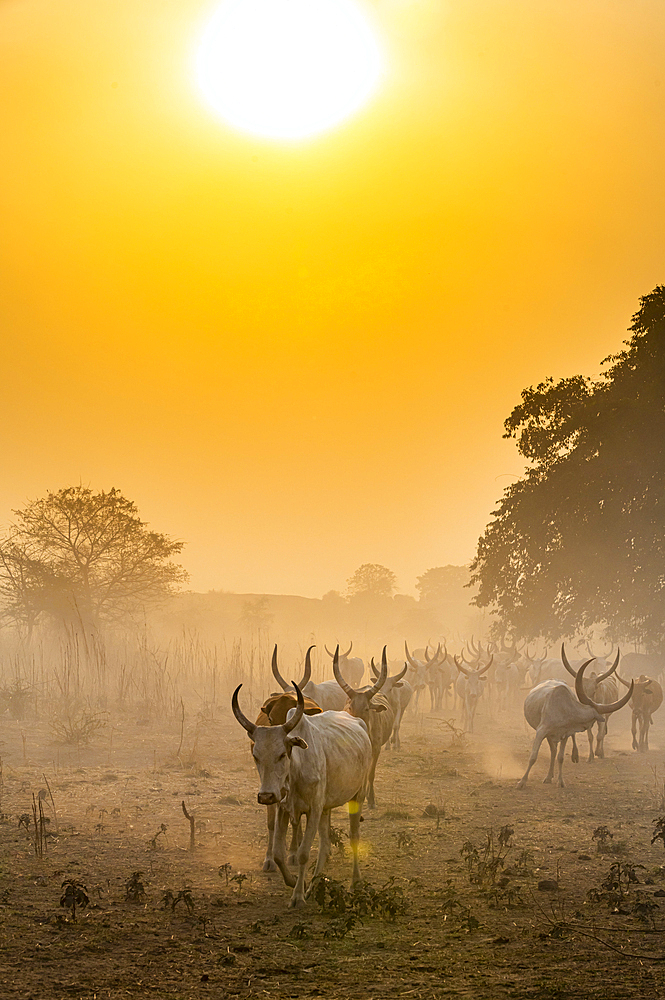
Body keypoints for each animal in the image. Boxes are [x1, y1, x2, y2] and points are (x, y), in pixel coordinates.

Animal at [233, 680, 370, 908]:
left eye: (282, 754)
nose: (266, 796)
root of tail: (359, 721)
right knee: (324, 843)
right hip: (326, 807)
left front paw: (297, 896)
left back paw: (356, 882)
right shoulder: (285, 807)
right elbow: (279, 854)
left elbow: (304, 853)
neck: (295, 772)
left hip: (357, 796)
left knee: (354, 837)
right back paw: (314, 884)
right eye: (256, 756)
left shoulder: (313, 809)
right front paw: (296, 882)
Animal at [512, 660, 632, 792]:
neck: (565, 710)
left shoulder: (565, 735)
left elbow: (560, 757)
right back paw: (548, 776)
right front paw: (522, 782)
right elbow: (533, 757)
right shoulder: (541, 731)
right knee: (552, 750)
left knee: (554, 751)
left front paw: (560, 781)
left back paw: (550, 775)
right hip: (547, 734)